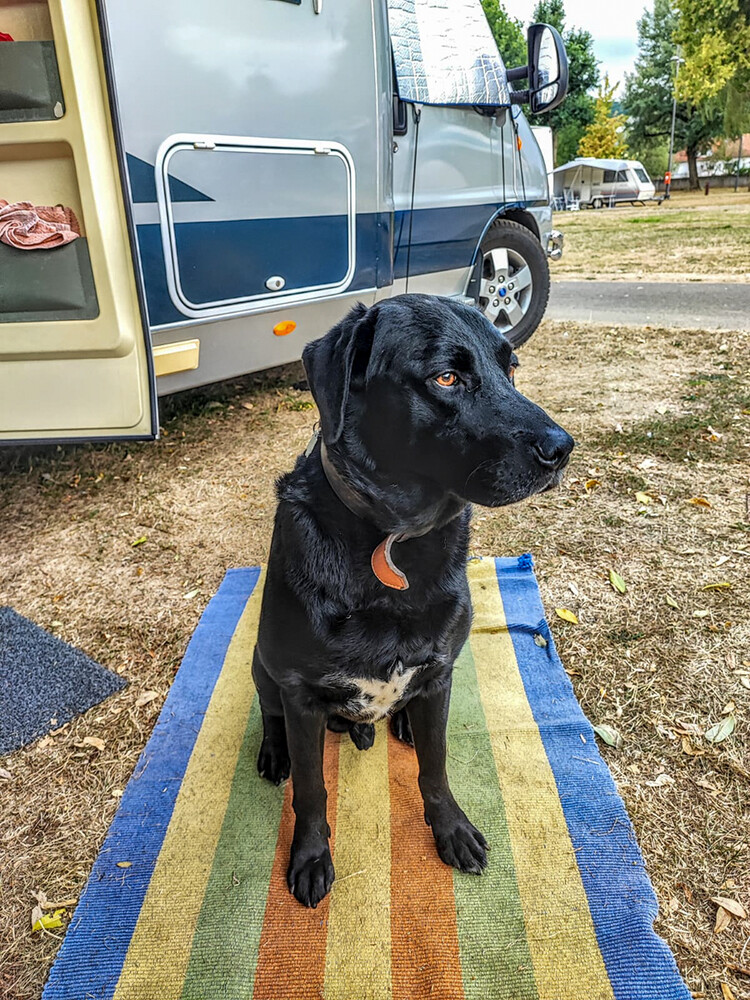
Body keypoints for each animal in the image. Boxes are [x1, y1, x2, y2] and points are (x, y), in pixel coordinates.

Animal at [253, 294, 576, 908]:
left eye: (512, 368)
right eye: (446, 378)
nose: (563, 449)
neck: (394, 538)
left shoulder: (441, 670)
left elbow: (435, 766)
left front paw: (450, 829)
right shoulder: (300, 692)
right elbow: (311, 788)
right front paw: (310, 856)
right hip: (260, 662)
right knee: (270, 712)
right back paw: (274, 752)